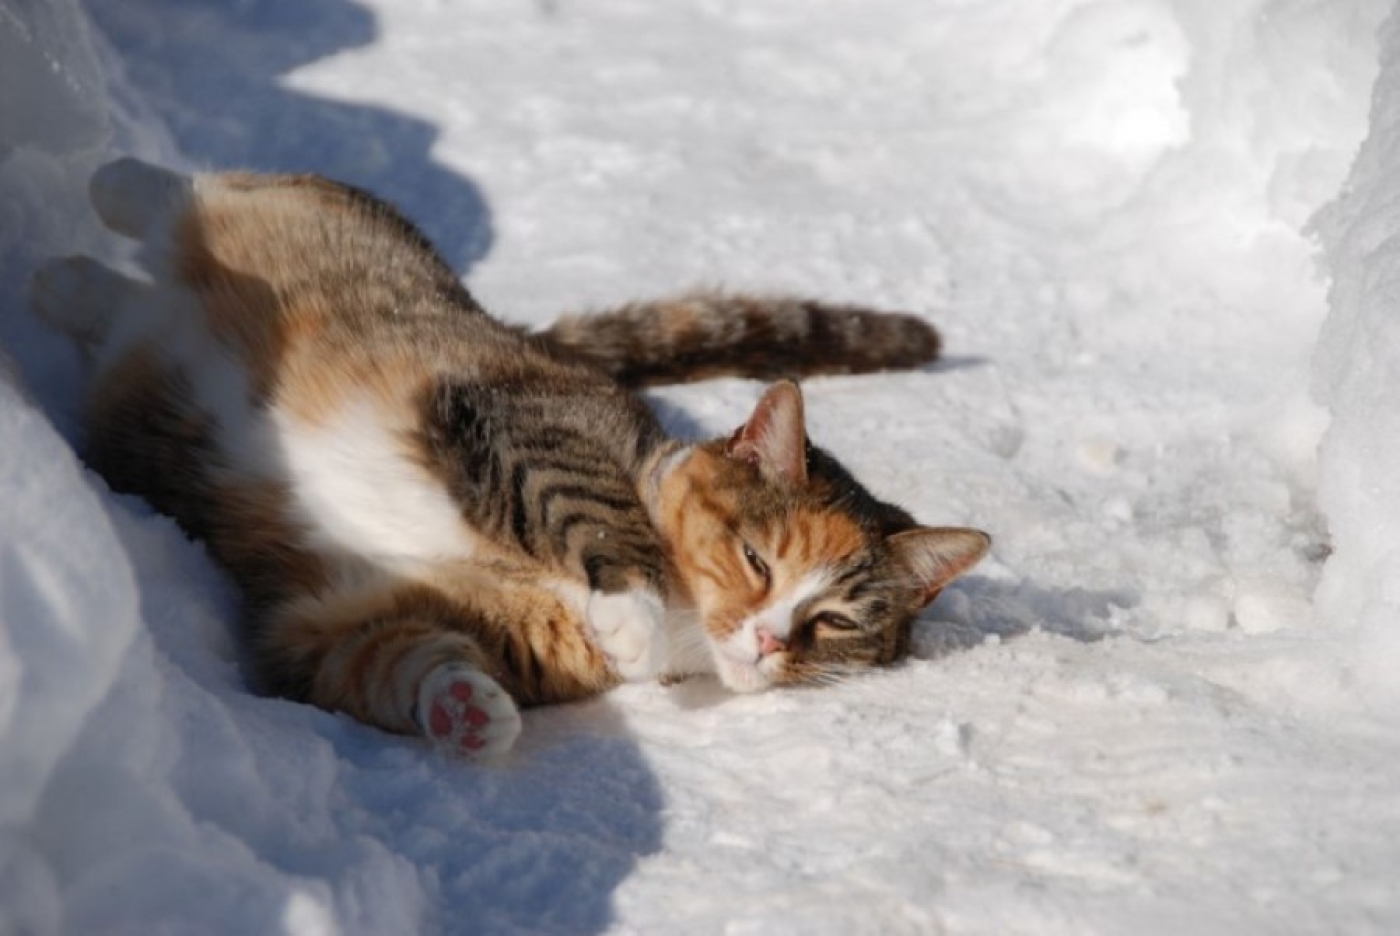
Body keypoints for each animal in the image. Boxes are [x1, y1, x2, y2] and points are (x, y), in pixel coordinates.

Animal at [35, 156, 996, 755]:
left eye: (832, 622)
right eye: (758, 559)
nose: (766, 640)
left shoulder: (335, 616)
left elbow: (381, 657)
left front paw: (469, 711)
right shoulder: (531, 425)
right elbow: (600, 513)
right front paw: (632, 618)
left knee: (110, 299)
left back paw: (71, 283)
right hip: (335, 233)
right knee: (209, 193)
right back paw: (117, 188)